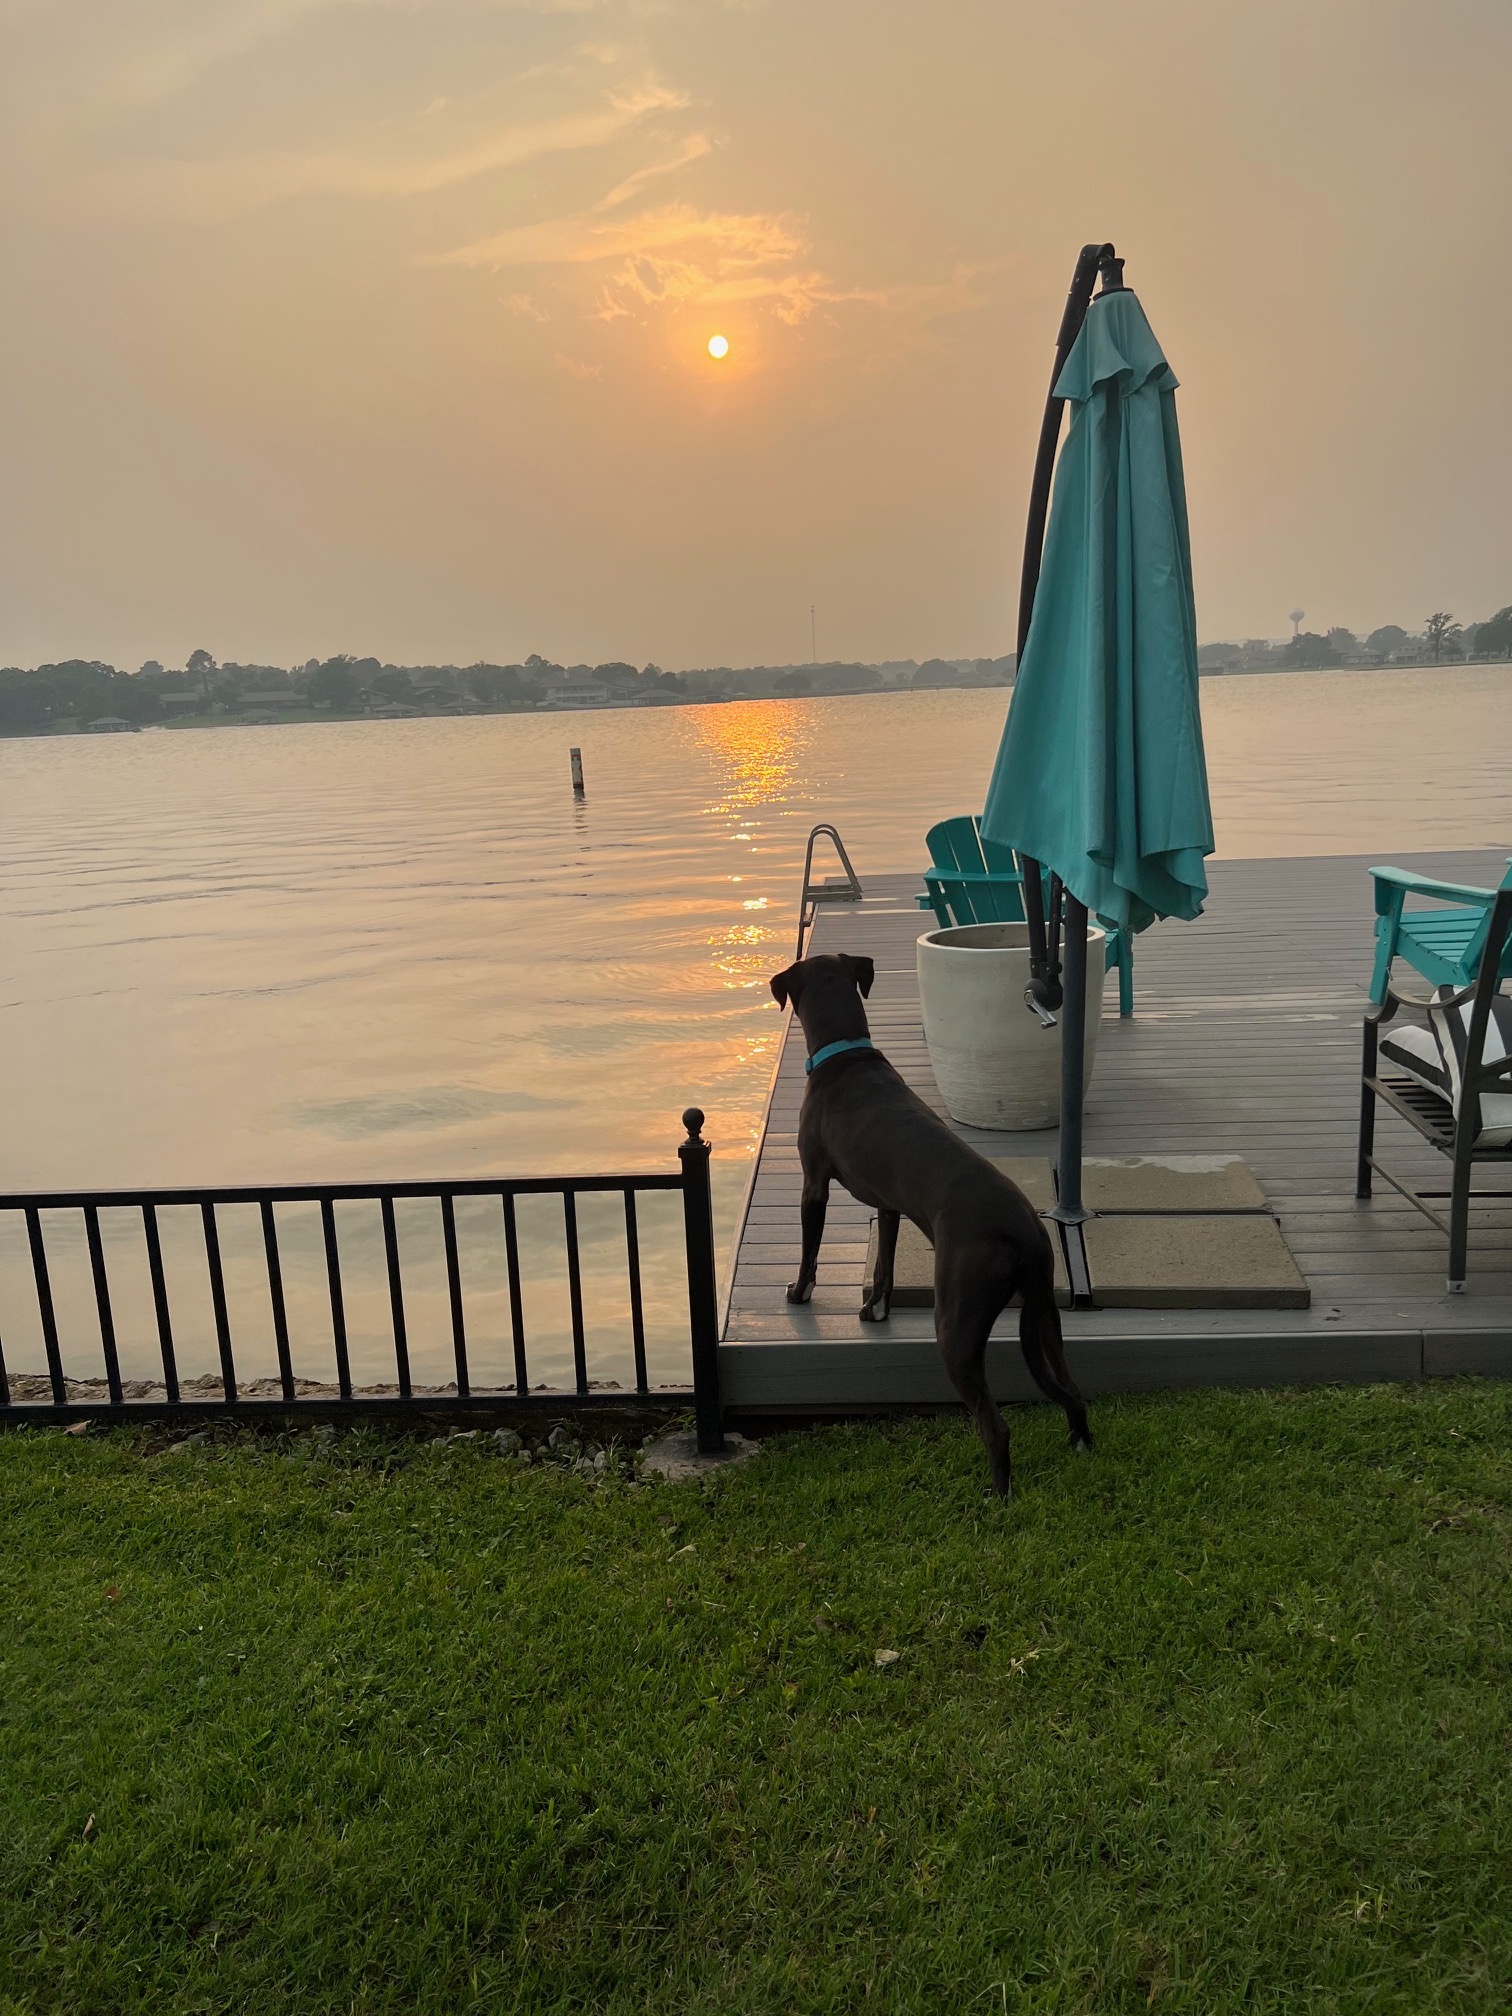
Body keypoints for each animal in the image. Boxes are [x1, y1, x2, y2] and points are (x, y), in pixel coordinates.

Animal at [770, 947, 1088, 1499]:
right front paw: (875, 1309)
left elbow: (810, 1249)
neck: (845, 1057)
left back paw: (997, 1498)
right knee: (1071, 1388)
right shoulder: (889, 1204)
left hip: (956, 1323)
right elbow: (884, 1266)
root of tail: (1024, 1229)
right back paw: (1080, 1447)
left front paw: (799, 1292)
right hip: (1045, 1314)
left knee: (995, 1425)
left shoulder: (814, 1184)